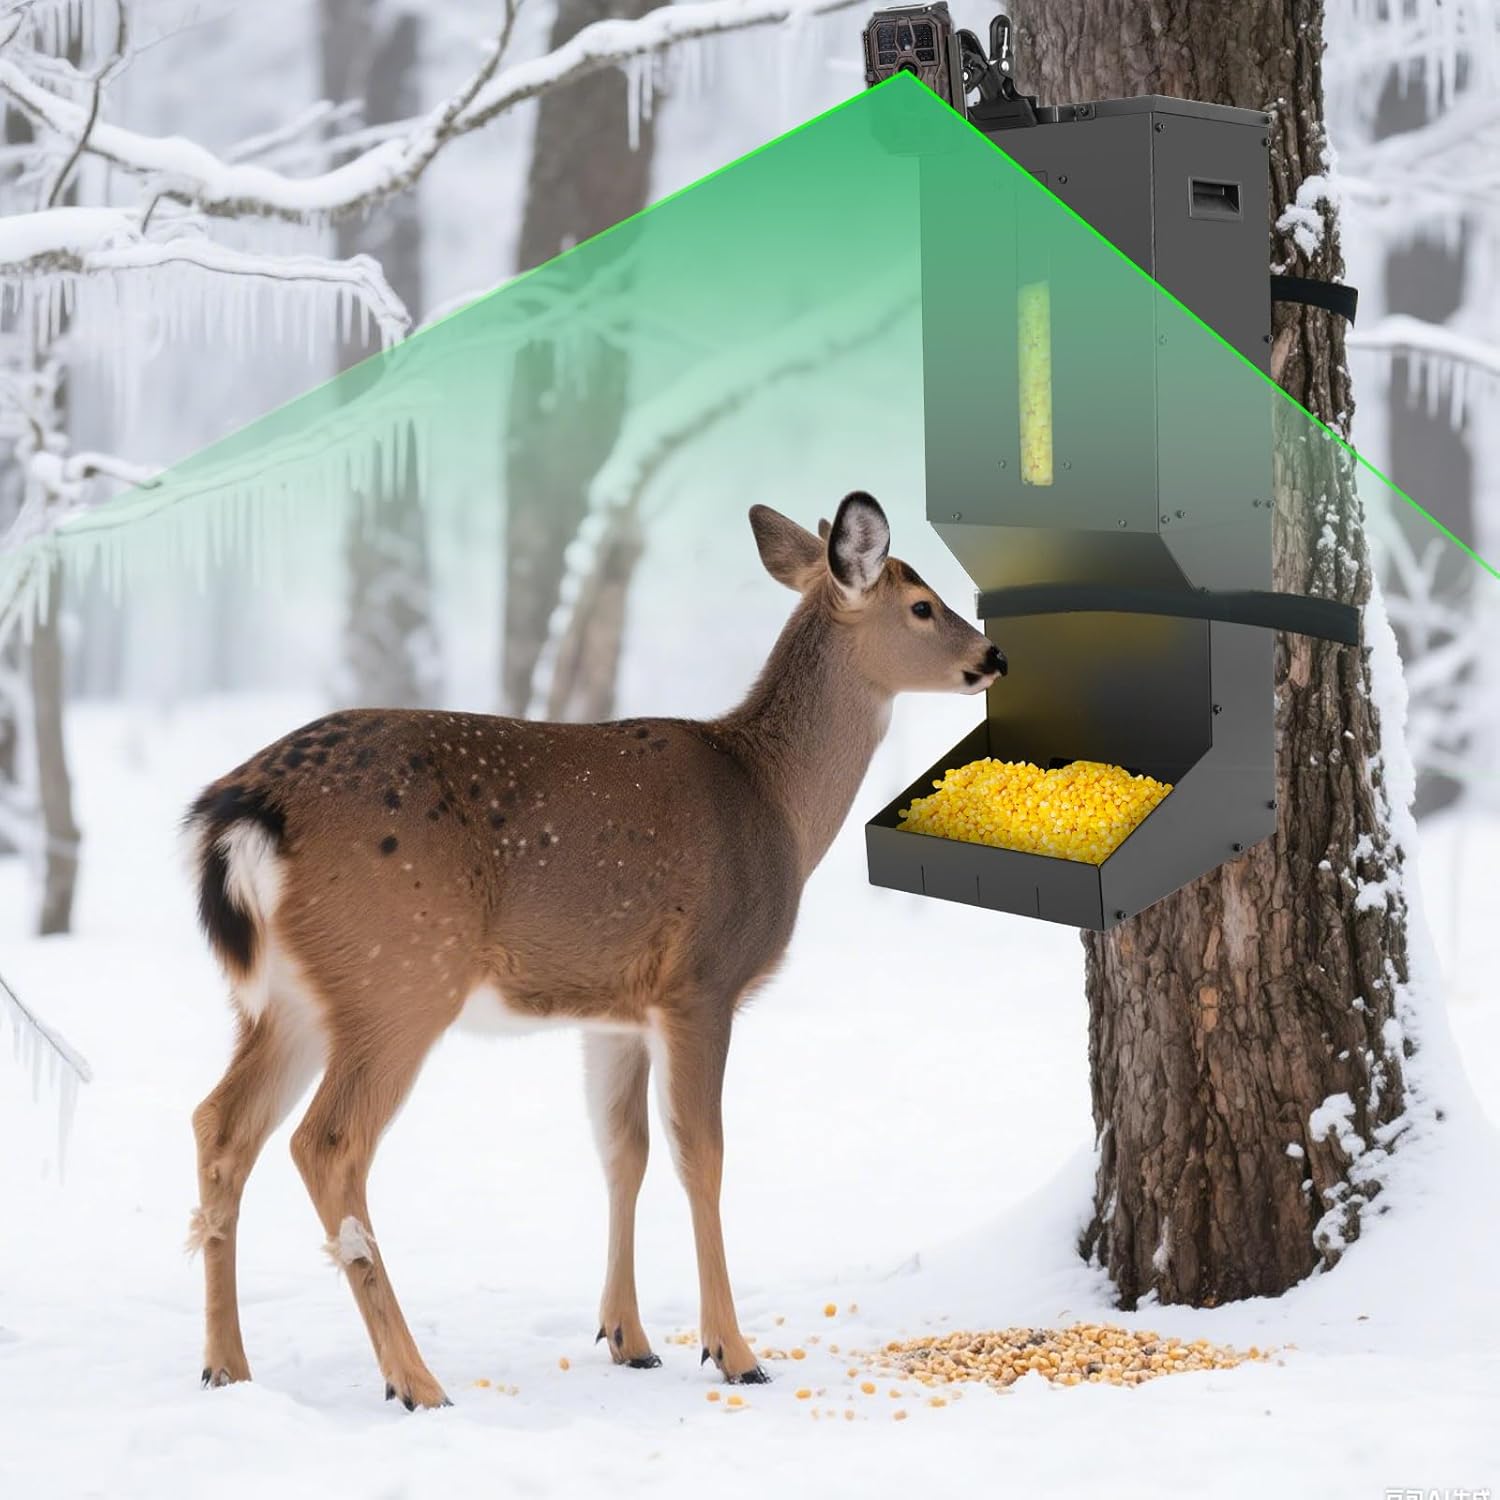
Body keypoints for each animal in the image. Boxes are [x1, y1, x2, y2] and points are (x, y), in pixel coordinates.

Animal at [184, 491, 1006, 1409]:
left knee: (219, 1126)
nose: (993, 656)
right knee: (326, 1144)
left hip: (284, 997)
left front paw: (630, 1338)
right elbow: (701, 1155)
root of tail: (243, 812)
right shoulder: (701, 983)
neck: (775, 800)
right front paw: (734, 1351)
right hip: (398, 977)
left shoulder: (616, 1011)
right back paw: (415, 1382)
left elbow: (624, 1153)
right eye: (922, 605)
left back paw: (227, 1367)